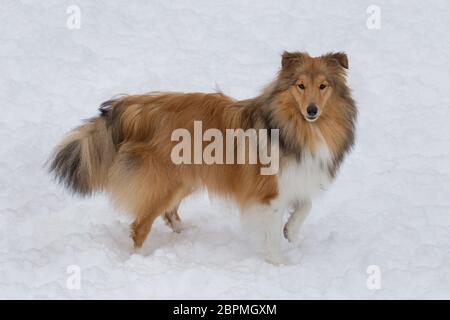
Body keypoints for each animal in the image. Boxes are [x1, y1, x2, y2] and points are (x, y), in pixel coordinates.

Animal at [49, 52, 356, 262]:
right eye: (300, 86)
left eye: (323, 86)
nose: (312, 110)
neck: (298, 128)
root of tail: (135, 108)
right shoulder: (269, 194)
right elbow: (271, 233)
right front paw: (278, 264)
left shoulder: (298, 179)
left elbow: (306, 206)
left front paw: (291, 231)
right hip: (164, 182)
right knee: (139, 226)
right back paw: (139, 260)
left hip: (184, 179)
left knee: (168, 213)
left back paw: (186, 233)